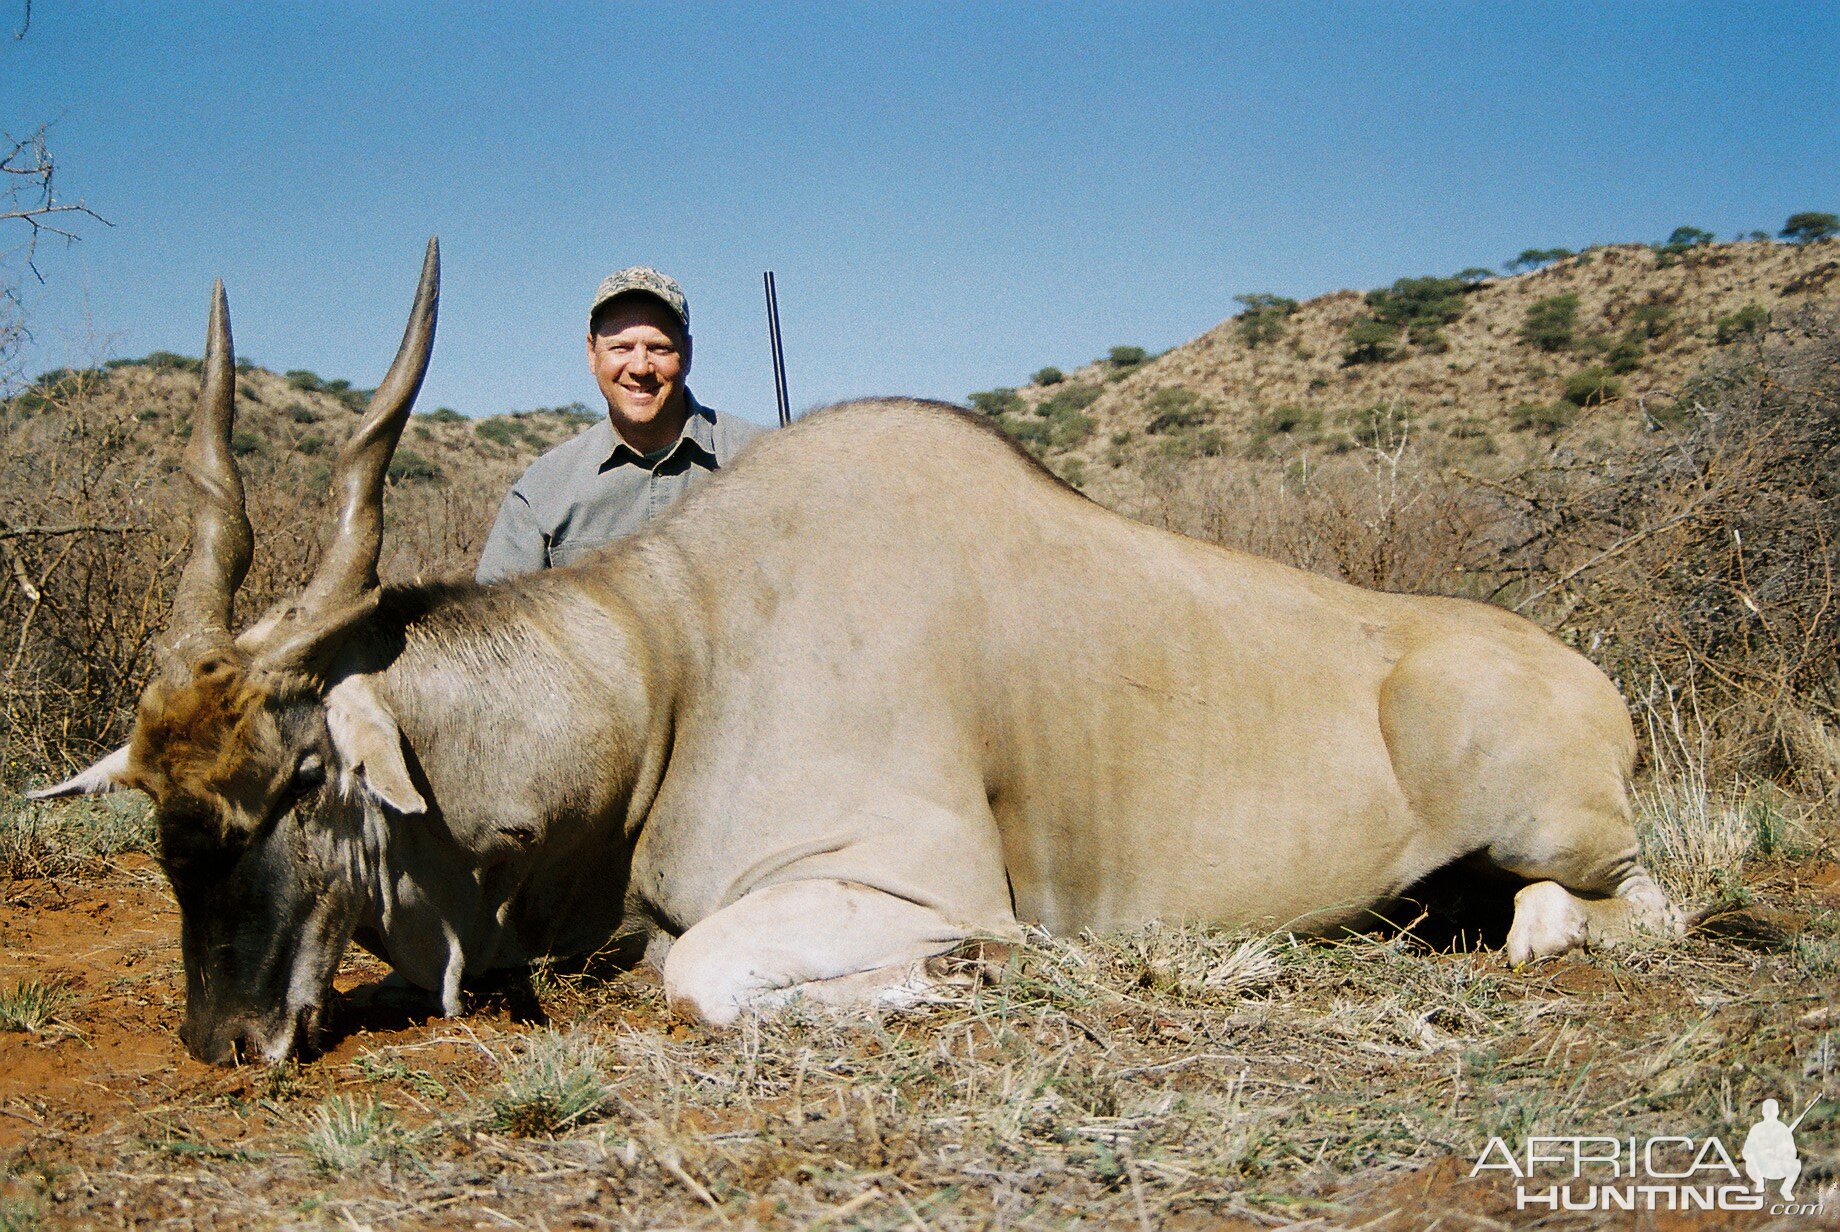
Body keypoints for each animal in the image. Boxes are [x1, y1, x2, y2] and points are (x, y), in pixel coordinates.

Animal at [35, 244, 1685, 1073]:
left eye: (298, 780)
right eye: (160, 819)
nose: (223, 1037)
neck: (675, 660)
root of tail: (1592, 685)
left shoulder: (911, 885)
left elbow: (699, 974)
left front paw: (966, 983)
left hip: (1565, 832)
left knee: (1621, 912)